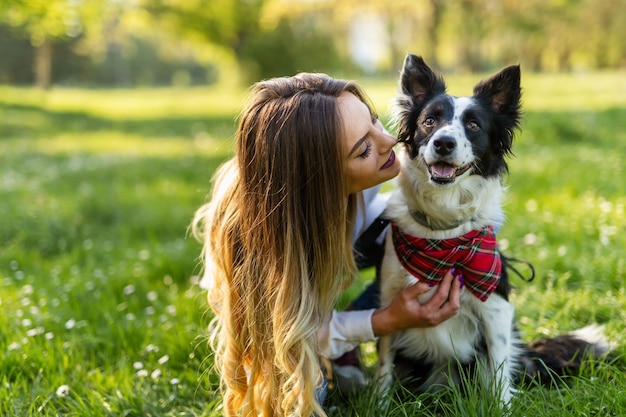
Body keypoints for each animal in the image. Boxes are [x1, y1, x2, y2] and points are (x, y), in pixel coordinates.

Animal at [372, 54, 608, 404]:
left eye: (473, 125)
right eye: (430, 121)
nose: (444, 143)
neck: (443, 234)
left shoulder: (496, 307)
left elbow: (497, 367)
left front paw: (501, 406)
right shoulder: (389, 300)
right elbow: (383, 362)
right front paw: (379, 402)